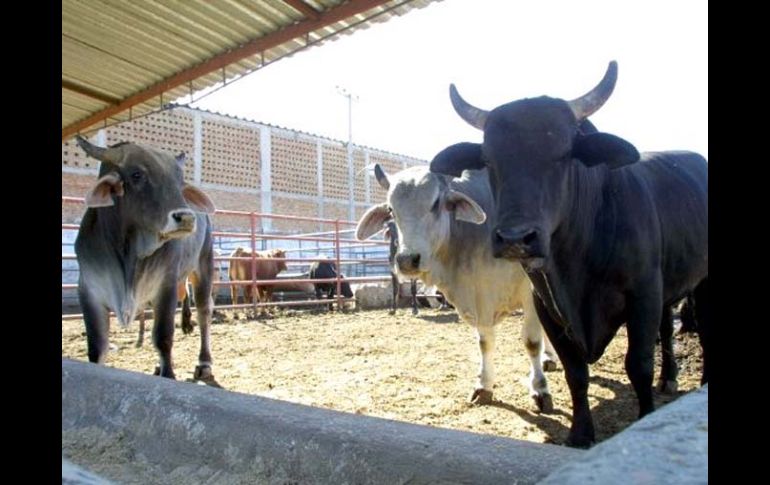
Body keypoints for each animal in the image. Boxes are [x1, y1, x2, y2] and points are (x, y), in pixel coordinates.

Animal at [73, 135, 218, 382]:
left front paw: (169, 375)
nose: (186, 217)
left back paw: (204, 363)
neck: (128, 254)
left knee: (203, 311)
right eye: (137, 175)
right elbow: (97, 348)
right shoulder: (88, 290)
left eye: (179, 180)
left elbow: (162, 337)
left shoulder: (165, 285)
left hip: (203, 265)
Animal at [354, 161, 560, 410]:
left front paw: (540, 390)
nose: (406, 260)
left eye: (435, 203)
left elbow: (531, 342)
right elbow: (485, 342)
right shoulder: (480, 295)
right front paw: (484, 386)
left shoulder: (531, 292)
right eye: (391, 210)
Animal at [428, 60, 704, 446]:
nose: (515, 238)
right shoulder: (547, 306)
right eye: (489, 160)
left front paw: (645, 417)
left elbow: (638, 364)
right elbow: (575, 372)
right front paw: (579, 434)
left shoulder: (643, 294)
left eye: (563, 153)